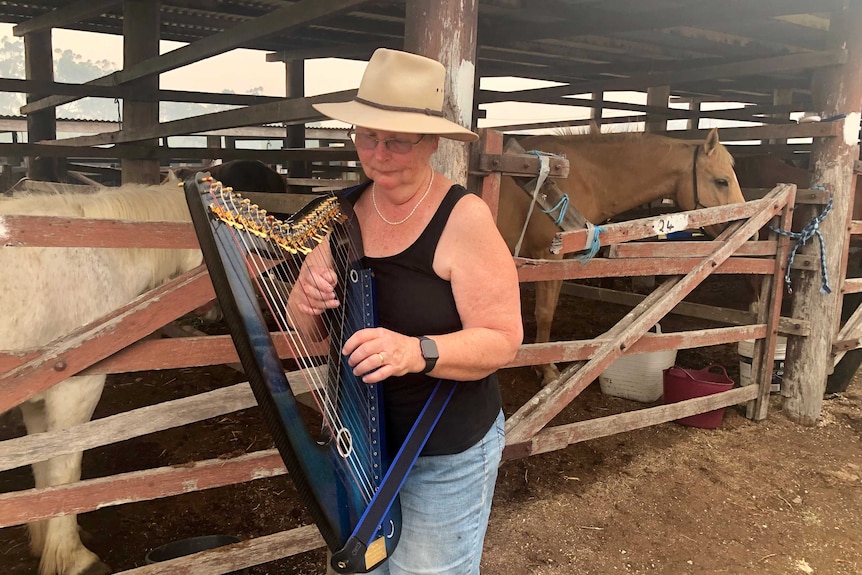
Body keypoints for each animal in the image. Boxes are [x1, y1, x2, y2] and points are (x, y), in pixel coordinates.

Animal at [0, 180, 201, 575]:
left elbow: (44, 469)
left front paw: (47, 541)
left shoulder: (36, 399)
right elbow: (66, 469)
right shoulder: (75, 388)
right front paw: (75, 558)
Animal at [500, 128, 748, 384]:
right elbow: (544, 313)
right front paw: (546, 370)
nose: (749, 224)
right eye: (721, 181)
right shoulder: (546, 258)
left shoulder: (562, 261)